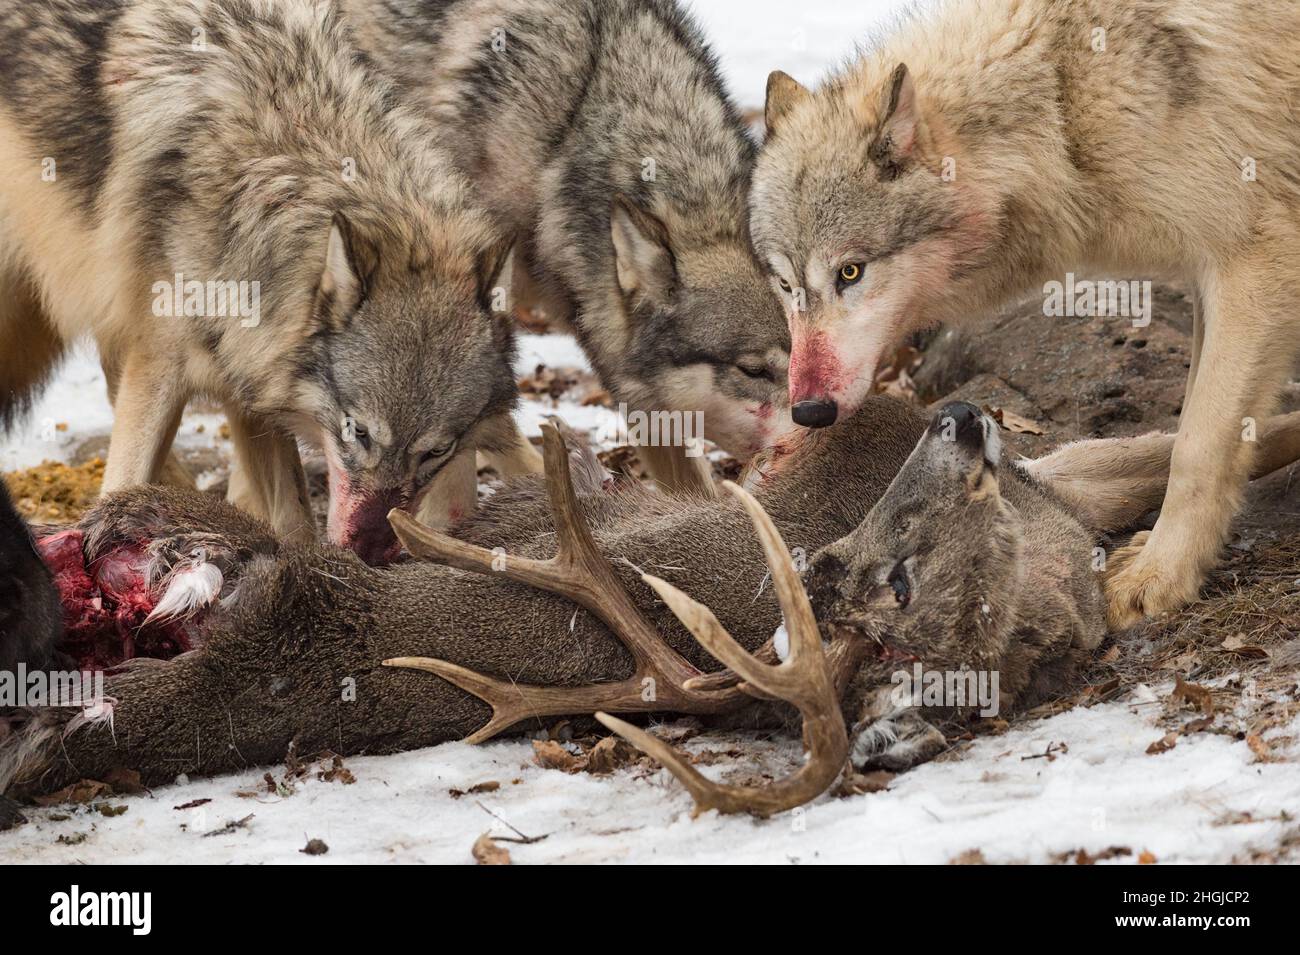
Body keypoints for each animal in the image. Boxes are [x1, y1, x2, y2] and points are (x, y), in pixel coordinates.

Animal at [0, 0, 522, 564]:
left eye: (436, 451)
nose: (370, 551)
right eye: (358, 431)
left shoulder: (246, 375)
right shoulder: (162, 364)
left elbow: (292, 516)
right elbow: (125, 471)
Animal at [749, 0, 1300, 625]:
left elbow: (1198, 449)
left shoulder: (1254, 263)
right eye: (786, 284)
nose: (808, 411)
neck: (1065, 102)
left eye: (849, 272)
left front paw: (1159, 577)